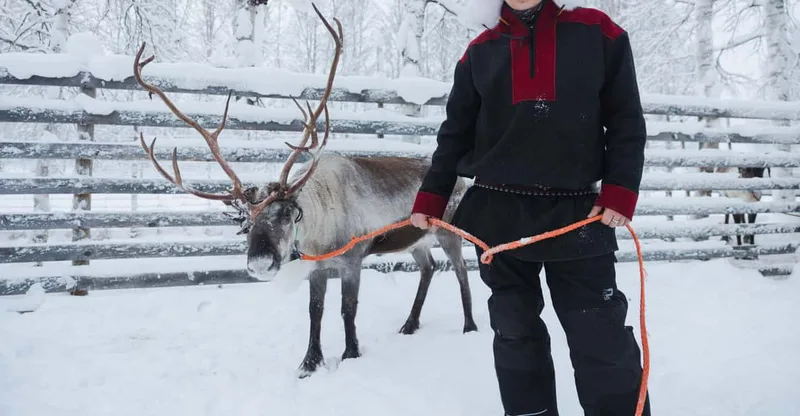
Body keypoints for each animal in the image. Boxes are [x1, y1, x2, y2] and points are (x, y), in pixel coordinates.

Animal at [131, 4, 477, 378]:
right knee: (429, 268)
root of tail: (462, 180)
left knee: (460, 272)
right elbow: (316, 311)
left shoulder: (352, 260)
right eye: (245, 223)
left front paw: (351, 354)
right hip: (417, 240)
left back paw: (470, 326)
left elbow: (347, 309)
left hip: (449, 233)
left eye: (286, 214)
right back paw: (410, 324)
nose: (260, 264)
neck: (320, 230)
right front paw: (309, 362)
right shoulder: (318, 268)